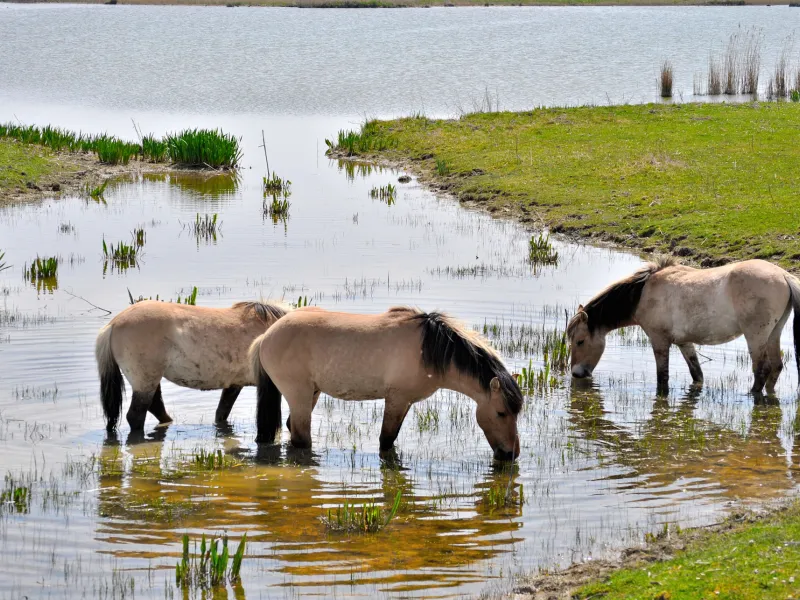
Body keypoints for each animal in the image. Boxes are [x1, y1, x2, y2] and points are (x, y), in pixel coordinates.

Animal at [95, 300, 288, 432]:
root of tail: (113, 324)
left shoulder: (234, 384)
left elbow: (221, 413)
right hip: (145, 380)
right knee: (136, 415)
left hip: (149, 379)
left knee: (155, 406)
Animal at [248, 306, 523, 461]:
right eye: (501, 413)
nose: (511, 455)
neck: (428, 349)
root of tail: (266, 337)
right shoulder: (397, 399)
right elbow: (386, 441)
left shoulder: (406, 402)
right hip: (299, 394)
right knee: (301, 438)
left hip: (312, 393)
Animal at [567, 257, 800, 395]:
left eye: (580, 341)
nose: (576, 374)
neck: (643, 294)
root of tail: (783, 275)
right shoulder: (685, 343)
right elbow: (697, 374)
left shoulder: (659, 341)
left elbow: (662, 378)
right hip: (774, 333)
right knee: (776, 367)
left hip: (755, 336)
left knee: (762, 369)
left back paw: (752, 396)